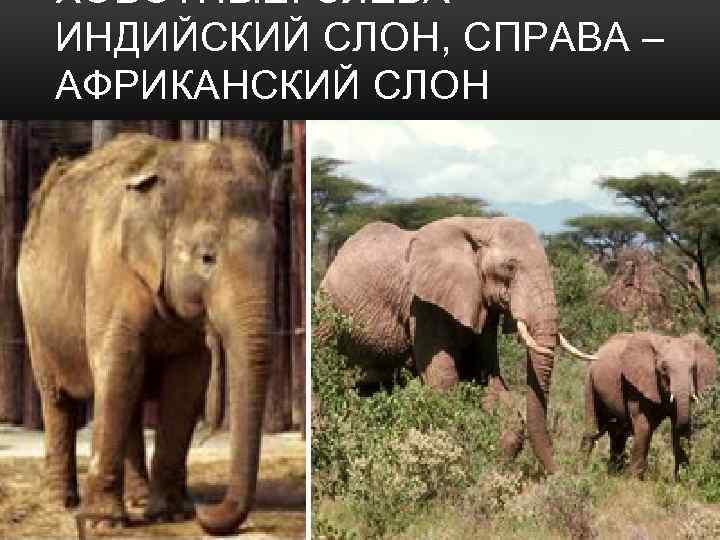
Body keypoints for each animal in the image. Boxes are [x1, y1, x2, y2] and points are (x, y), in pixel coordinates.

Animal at [16, 133, 274, 535]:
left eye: (275, 250)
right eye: (207, 257)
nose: (205, 511)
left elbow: (186, 381)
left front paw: (171, 514)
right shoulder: (110, 269)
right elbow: (119, 365)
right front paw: (102, 524)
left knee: (131, 399)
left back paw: (138, 499)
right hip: (34, 314)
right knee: (58, 398)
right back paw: (61, 502)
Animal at [319, 217, 596, 472]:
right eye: (509, 267)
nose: (564, 472)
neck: (480, 226)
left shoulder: (482, 306)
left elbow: (487, 378)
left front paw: (497, 464)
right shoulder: (423, 305)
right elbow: (443, 380)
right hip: (328, 314)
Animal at [581, 331, 717, 479]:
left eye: (693, 368)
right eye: (664, 368)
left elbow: (681, 428)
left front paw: (683, 479)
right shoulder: (635, 387)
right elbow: (644, 427)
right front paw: (635, 480)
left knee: (617, 434)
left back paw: (614, 473)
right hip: (589, 381)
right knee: (593, 429)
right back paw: (582, 471)